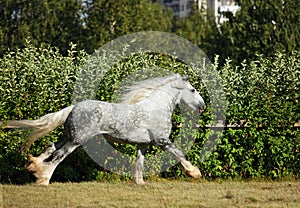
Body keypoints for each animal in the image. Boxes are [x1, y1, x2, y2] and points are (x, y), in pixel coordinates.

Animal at [1, 73, 205, 185]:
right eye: (193, 90)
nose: (202, 106)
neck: (156, 108)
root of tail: (74, 107)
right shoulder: (162, 141)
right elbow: (179, 154)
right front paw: (194, 173)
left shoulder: (143, 144)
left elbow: (139, 162)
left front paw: (139, 182)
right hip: (78, 140)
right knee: (59, 155)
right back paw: (43, 179)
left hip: (69, 136)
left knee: (51, 146)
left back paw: (33, 165)